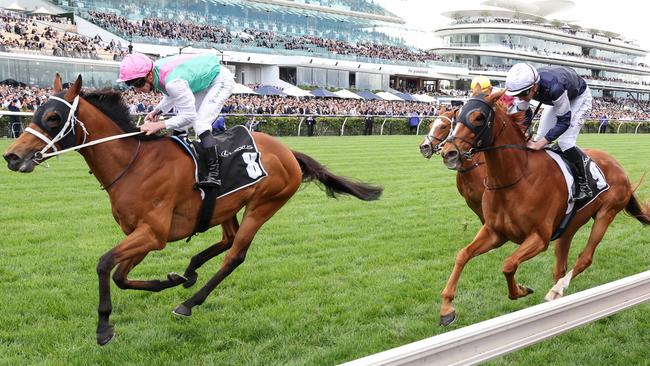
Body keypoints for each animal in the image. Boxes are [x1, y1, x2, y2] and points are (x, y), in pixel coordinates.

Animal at [2, 75, 382, 346]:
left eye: (53, 117)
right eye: (34, 112)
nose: (12, 156)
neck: (134, 163)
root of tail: (288, 151)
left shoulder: (153, 234)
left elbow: (105, 264)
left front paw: (103, 328)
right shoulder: (141, 234)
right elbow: (122, 276)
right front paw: (168, 280)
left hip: (264, 205)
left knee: (235, 255)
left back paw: (190, 301)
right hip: (226, 206)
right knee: (226, 240)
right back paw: (189, 272)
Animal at [436, 91, 648, 326]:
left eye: (479, 117)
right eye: (457, 117)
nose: (448, 153)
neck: (515, 177)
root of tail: (619, 167)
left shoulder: (539, 238)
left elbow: (508, 264)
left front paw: (520, 290)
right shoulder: (495, 233)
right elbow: (463, 255)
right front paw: (446, 308)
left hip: (606, 214)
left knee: (585, 258)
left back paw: (557, 289)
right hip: (569, 226)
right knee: (560, 265)